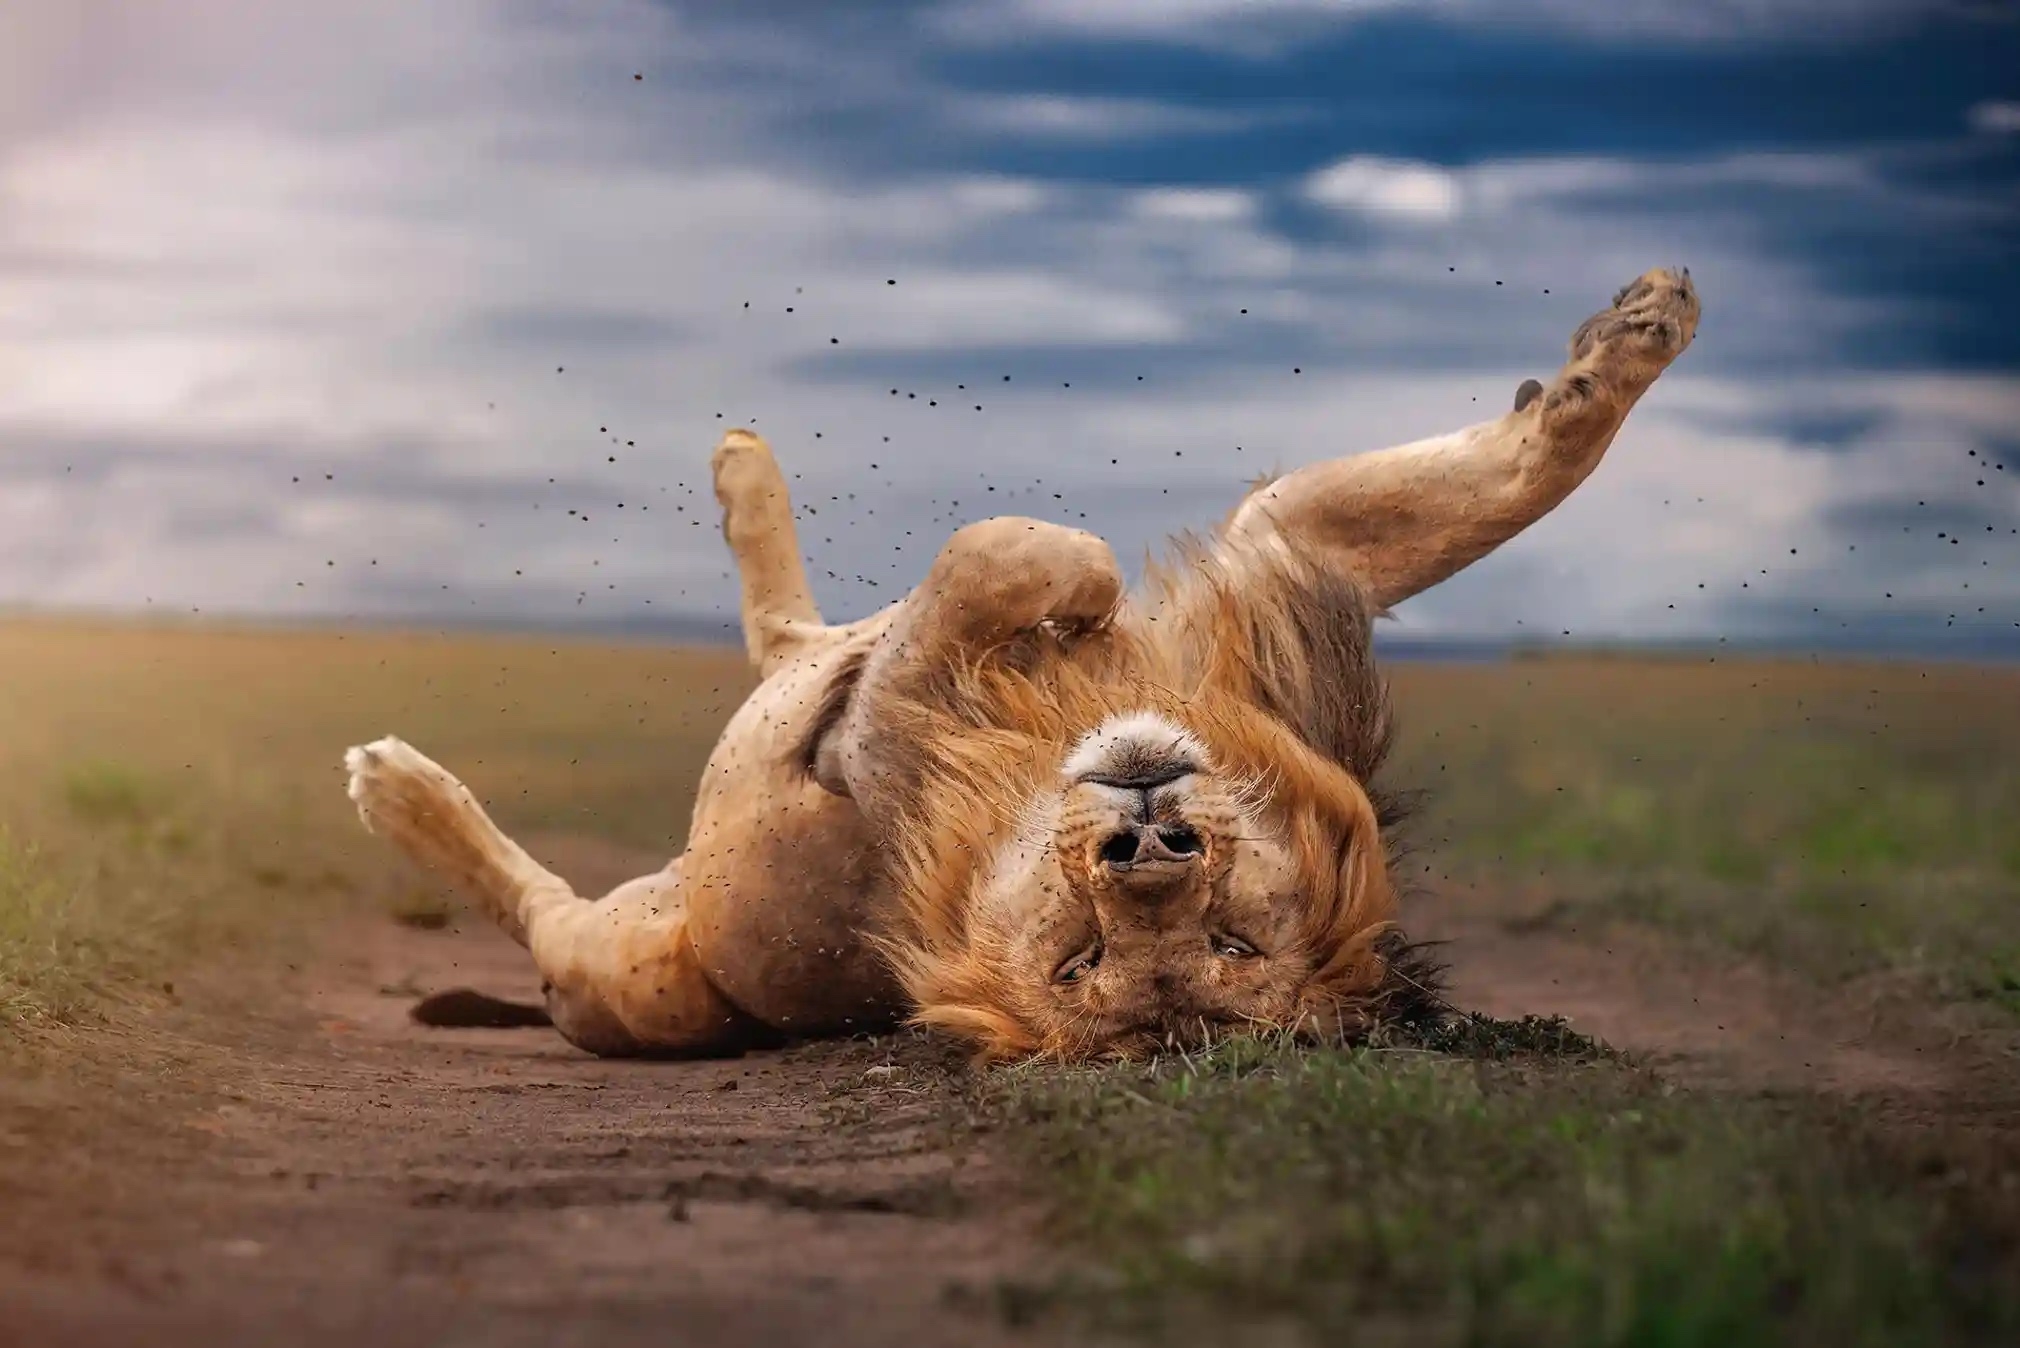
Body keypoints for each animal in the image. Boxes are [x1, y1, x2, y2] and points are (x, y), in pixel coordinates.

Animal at [347, 266, 1704, 1067]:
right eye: (1088, 953)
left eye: (1223, 948)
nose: (1150, 847)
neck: (1043, 746)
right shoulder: (1287, 561)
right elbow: (1519, 469)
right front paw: (1636, 333)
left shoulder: (885, 746)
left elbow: (996, 558)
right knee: (787, 633)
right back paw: (742, 463)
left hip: (632, 971)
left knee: (549, 907)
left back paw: (399, 787)